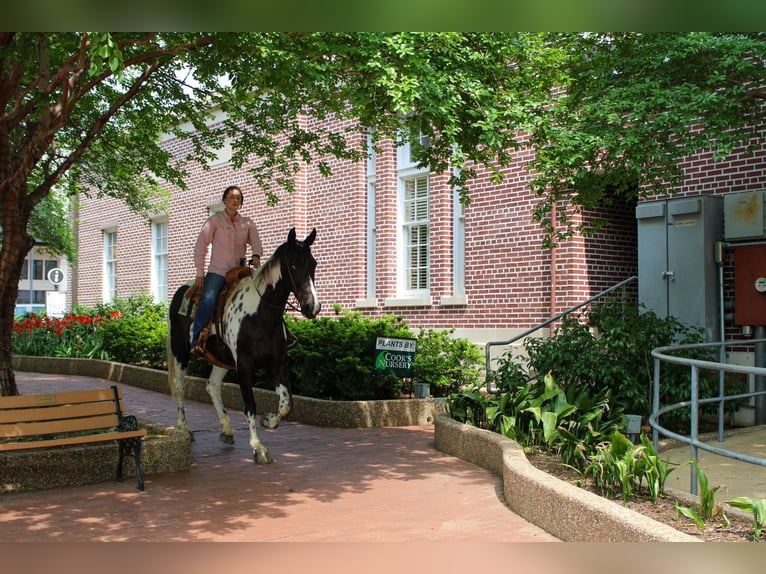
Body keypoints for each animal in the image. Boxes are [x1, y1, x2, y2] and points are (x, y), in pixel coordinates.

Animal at [168, 228, 320, 464]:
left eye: (313, 264)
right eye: (294, 264)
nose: (312, 307)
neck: (259, 315)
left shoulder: (276, 362)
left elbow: (287, 402)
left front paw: (269, 420)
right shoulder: (245, 365)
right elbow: (250, 405)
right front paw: (258, 447)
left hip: (221, 358)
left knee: (212, 386)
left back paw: (227, 429)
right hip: (181, 352)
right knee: (179, 386)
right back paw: (184, 427)